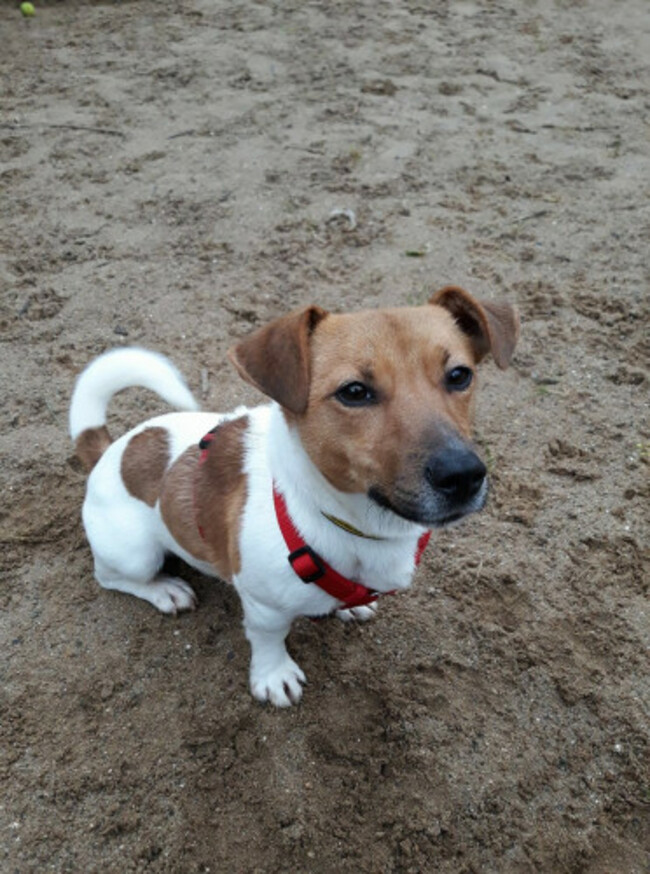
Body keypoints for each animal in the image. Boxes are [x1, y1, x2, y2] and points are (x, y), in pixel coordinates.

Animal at [69, 282, 516, 704]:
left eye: (459, 375)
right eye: (354, 392)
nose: (463, 474)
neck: (346, 520)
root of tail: (108, 449)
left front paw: (352, 607)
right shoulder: (263, 605)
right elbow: (269, 638)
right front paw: (273, 676)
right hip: (135, 553)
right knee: (111, 577)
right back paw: (165, 590)